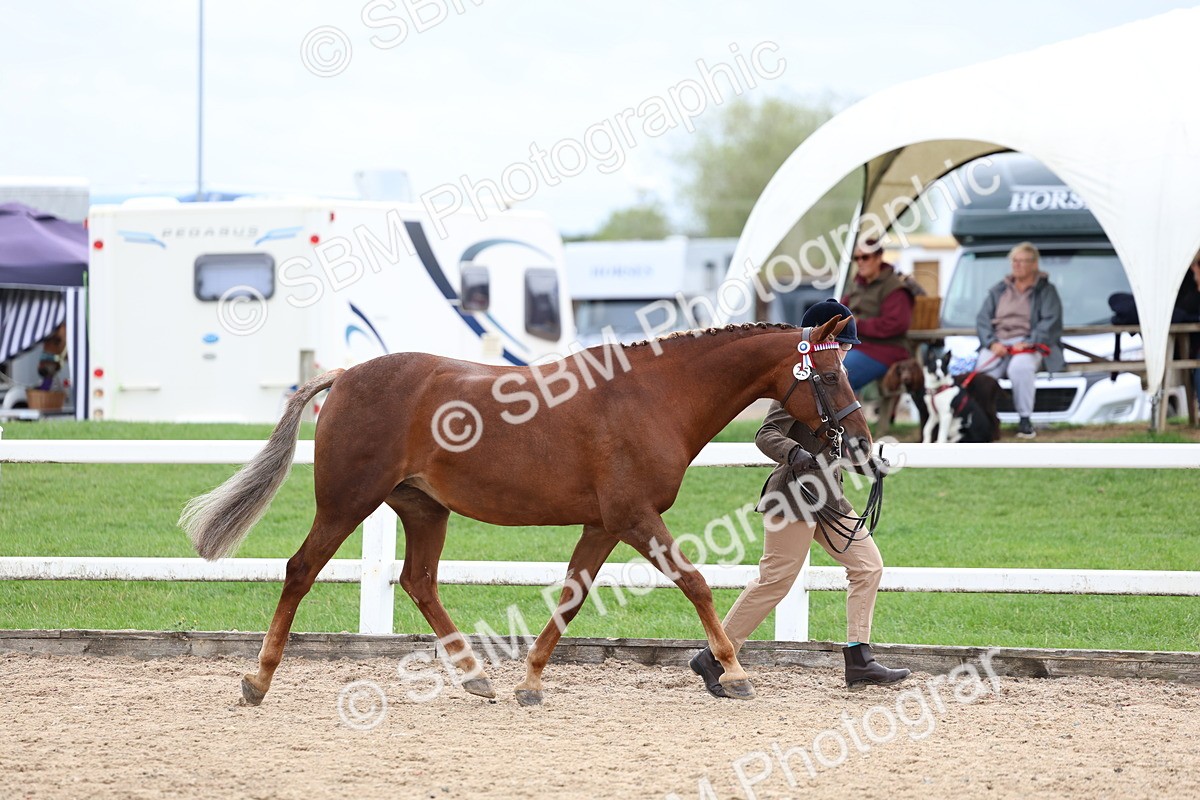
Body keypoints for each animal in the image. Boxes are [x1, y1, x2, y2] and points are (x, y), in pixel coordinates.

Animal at [179, 316, 872, 706]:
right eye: (831, 376)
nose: (862, 444)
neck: (652, 396)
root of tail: (345, 376)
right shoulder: (635, 518)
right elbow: (697, 583)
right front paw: (733, 671)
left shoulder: (604, 525)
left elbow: (570, 597)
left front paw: (530, 682)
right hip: (348, 501)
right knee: (300, 571)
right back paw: (258, 681)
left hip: (424, 511)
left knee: (418, 582)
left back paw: (475, 678)